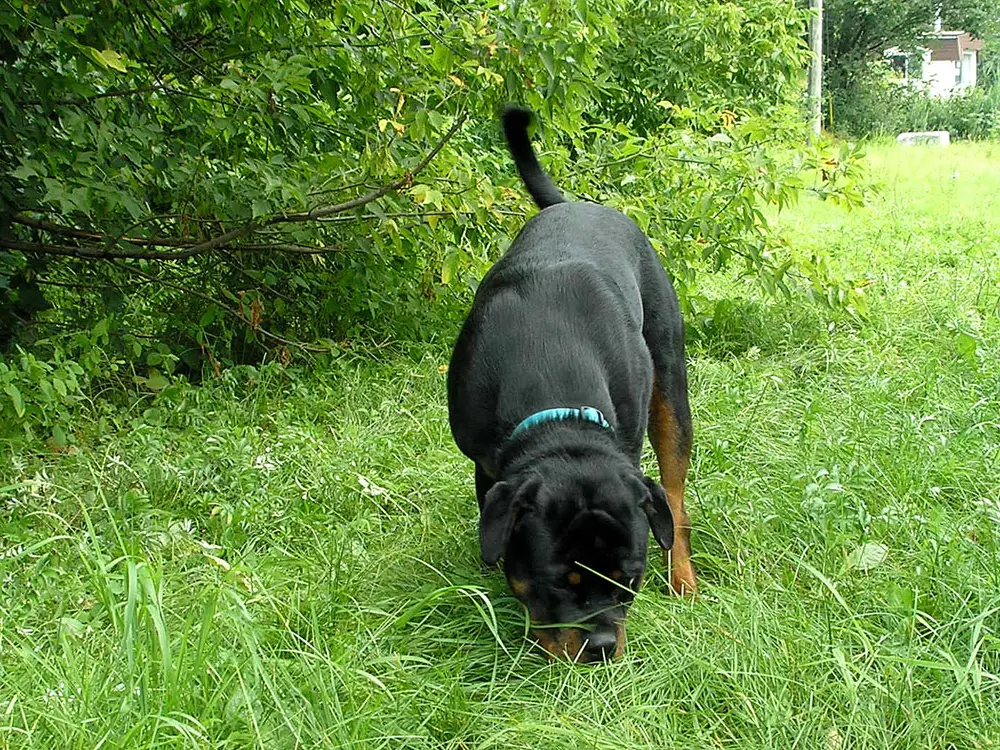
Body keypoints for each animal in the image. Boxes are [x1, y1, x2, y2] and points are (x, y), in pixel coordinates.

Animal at [448, 107, 696, 664]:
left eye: (631, 581)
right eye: (556, 583)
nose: (602, 645)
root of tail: (574, 203)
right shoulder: (485, 462)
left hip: (670, 383)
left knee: (674, 495)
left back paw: (684, 576)